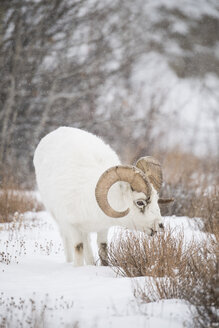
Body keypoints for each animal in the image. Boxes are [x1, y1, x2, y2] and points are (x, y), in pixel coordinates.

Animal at [33, 127, 172, 266]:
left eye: (156, 199)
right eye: (140, 202)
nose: (160, 225)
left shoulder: (103, 229)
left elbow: (103, 249)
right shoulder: (72, 227)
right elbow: (78, 248)